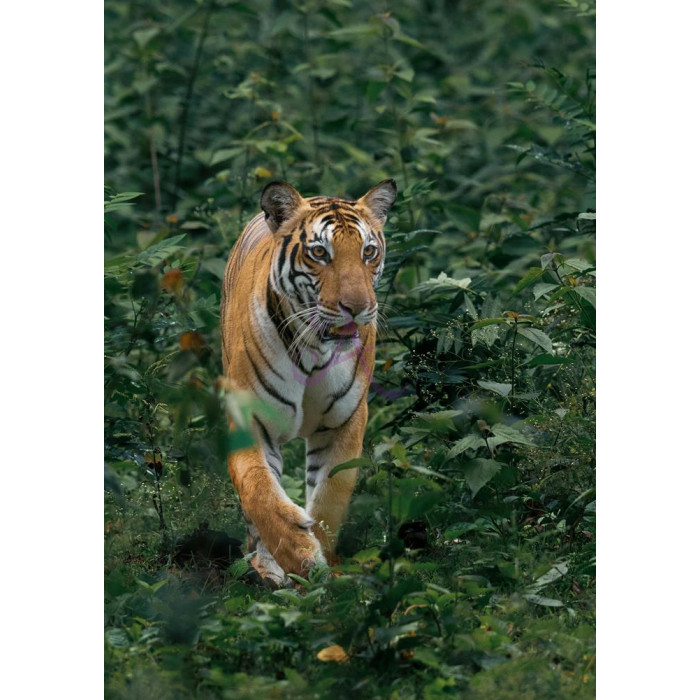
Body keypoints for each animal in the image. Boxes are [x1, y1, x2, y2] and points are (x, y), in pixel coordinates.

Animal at [220, 178, 397, 587]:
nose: (357, 307)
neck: (314, 348)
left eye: (368, 252)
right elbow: (259, 490)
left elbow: (331, 495)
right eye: (320, 252)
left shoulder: (345, 421)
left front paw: (323, 562)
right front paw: (298, 556)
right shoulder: (249, 418)